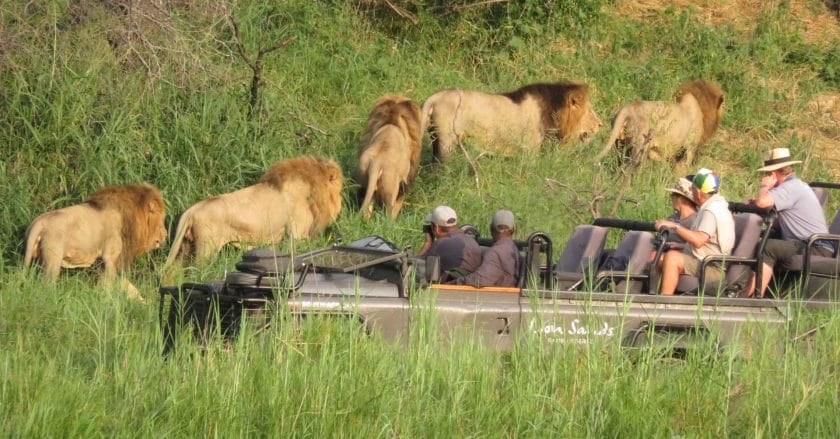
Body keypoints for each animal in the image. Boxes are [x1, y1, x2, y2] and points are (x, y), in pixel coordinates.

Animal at [23, 181, 168, 286]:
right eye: (162, 219)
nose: (166, 234)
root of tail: (39, 222)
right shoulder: (111, 257)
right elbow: (109, 283)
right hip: (53, 259)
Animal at [167, 155, 342, 264]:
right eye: (339, 191)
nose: (341, 200)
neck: (311, 190)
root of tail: (191, 210)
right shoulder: (297, 234)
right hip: (207, 248)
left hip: (185, 248)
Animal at [354, 94, 424, 222]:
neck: (391, 121)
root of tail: (376, 162)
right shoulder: (406, 179)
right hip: (391, 188)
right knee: (389, 215)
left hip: (362, 179)